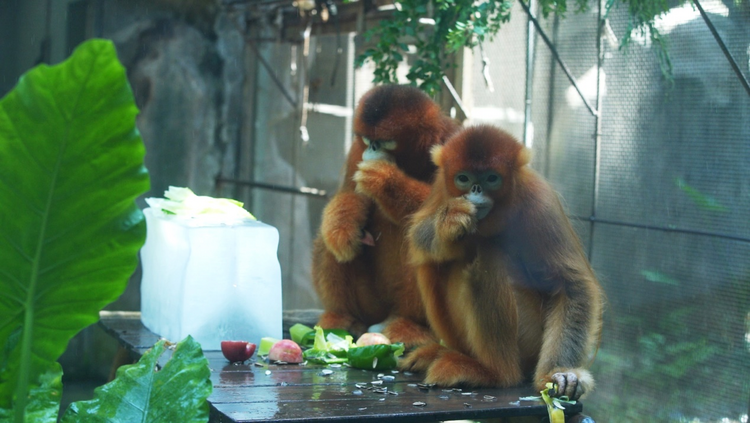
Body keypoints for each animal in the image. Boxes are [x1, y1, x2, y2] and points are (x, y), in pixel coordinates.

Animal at [310, 84, 458, 350]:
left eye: (384, 142)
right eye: (369, 140)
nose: (372, 149)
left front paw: (384, 179)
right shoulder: (356, 151)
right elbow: (350, 196)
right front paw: (342, 229)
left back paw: (410, 325)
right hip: (371, 305)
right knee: (329, 242)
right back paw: (341, 317)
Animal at [406, 125, 604, 400]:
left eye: (492, 179)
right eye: (463, 178)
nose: (476, 189)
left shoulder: (539, 199)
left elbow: (572, 286)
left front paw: (558, 373)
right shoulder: (442, 187)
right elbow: (418, 237)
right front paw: (450, 222)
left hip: (531, 339)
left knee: (487, 255)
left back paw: (495, 374)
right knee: (433, 262)